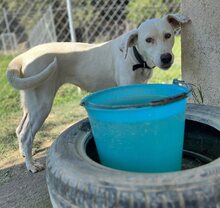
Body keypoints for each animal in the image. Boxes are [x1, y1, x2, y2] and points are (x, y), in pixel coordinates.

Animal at [6, 13, 189, 172]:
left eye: (168, 35)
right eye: (148, 40)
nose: (166, 58)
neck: (135, 55)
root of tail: (23, 56)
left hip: (31, 103)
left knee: (19, 130)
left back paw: (24, 154)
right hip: (42, 104)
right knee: (26, 135)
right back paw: (31, 166)